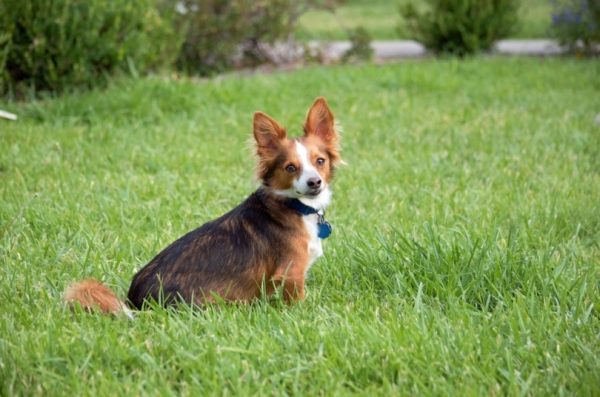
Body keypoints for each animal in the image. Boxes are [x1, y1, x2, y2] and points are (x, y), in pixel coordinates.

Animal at [64, 96, 342, 312]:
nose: (314, 182)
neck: (294, 205)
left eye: (320, 161)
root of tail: (136, 303)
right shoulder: (290, 274)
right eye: (290, 167)